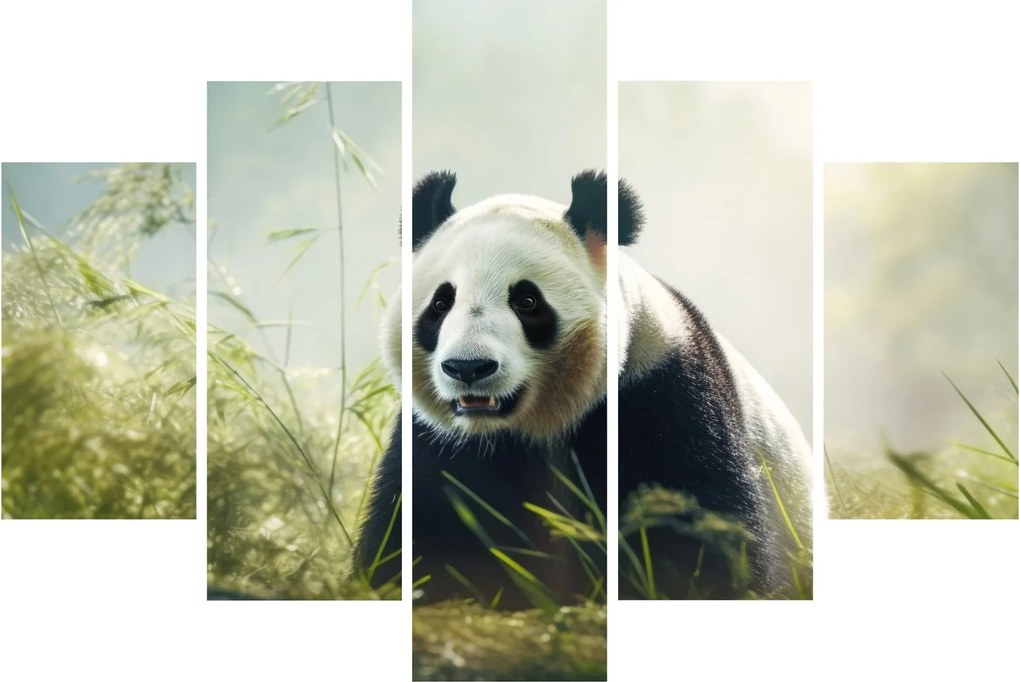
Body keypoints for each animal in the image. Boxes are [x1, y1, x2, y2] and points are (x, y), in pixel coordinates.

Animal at [354, 170, 812, 603]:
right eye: (440, 303)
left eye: (527, 301)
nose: (468, 368)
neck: (539, 424)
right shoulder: (440, 441)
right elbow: (423, 533)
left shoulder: (662, 393)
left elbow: (694, 530)